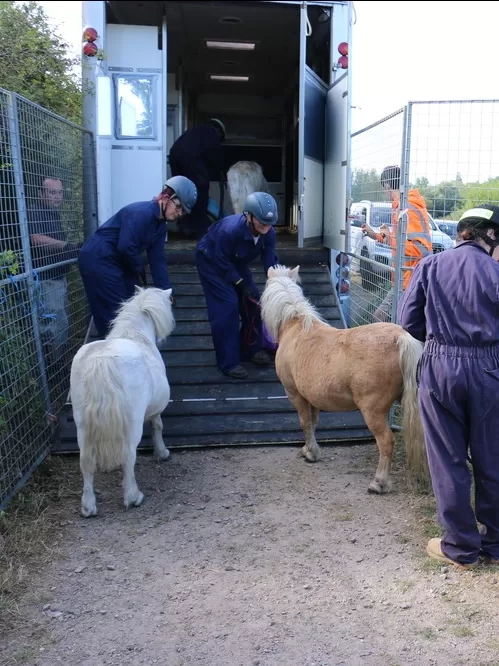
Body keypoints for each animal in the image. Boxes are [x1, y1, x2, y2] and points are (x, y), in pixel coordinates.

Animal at [70, 284, 176, 512]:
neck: (137, 336)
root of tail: (102, 361)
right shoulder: (155, 411)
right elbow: (158, 427)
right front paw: (162, 452)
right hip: (132, 424)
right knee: (128, 456)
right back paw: (133, 496)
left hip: (81, 423)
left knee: (86, 461)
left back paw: (88, 506)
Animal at [260, 266, 428, 492]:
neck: (295, 326)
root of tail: (400, 338)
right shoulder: (312, 398)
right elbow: (313, 423)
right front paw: (310, 450)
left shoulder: (295, 394)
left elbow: (305, 423)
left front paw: (310, 453)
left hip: (372, 411)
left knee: (386, 441)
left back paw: (378, 482)